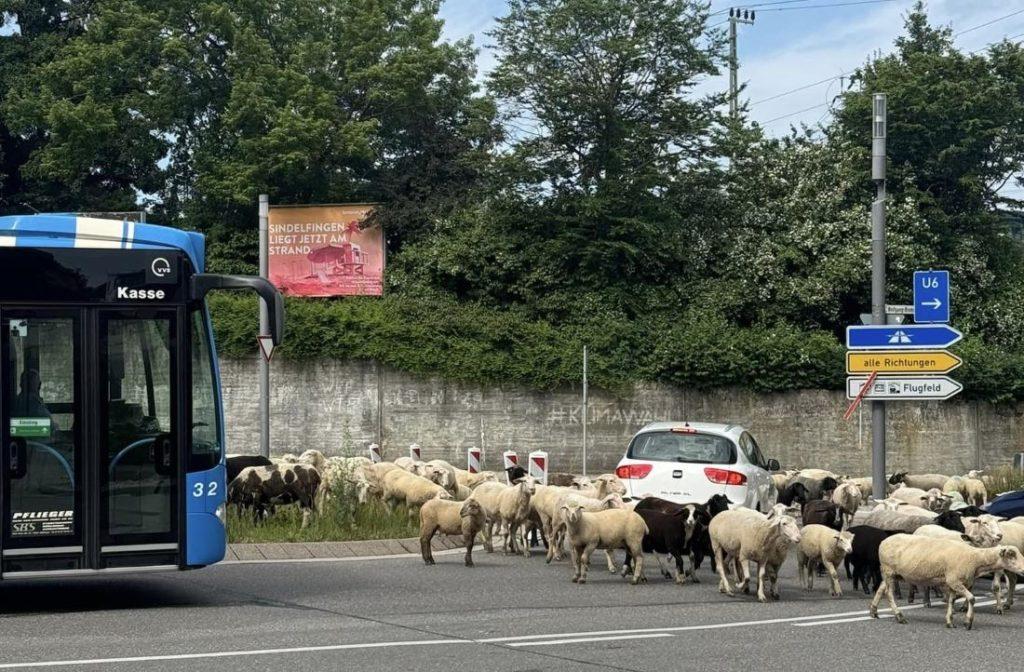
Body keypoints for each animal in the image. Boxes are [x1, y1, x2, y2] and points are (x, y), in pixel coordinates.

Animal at [868, 536, 1024, 631]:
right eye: (1011, 555)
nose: (1023, 569)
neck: (975, 559)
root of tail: (884, 541)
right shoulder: (954, 580)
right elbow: (971, 598)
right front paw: (968, 622)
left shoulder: (952, 582)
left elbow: (951, 601)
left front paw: (949, 621)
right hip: (888, 570)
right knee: (889, 593)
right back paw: (899, 616)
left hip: (893, 573)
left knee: (881, 588)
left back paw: (873, 611)